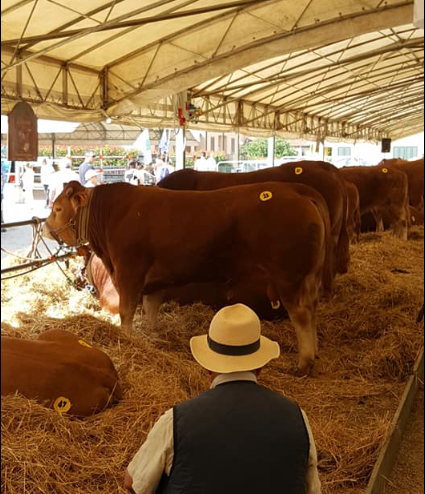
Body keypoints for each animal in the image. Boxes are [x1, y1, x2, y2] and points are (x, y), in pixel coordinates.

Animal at [44, 181, 332, 374]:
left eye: (57, 208)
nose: (45, 227)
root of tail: (296, 190)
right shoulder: (154, 283)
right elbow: (150, 309)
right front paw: (151, 336)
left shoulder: (128, 273)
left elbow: (127, 313)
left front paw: (126, 338)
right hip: (308, 278)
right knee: (312, 309)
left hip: (289, 279)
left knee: (301, 315)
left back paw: (304, 362)